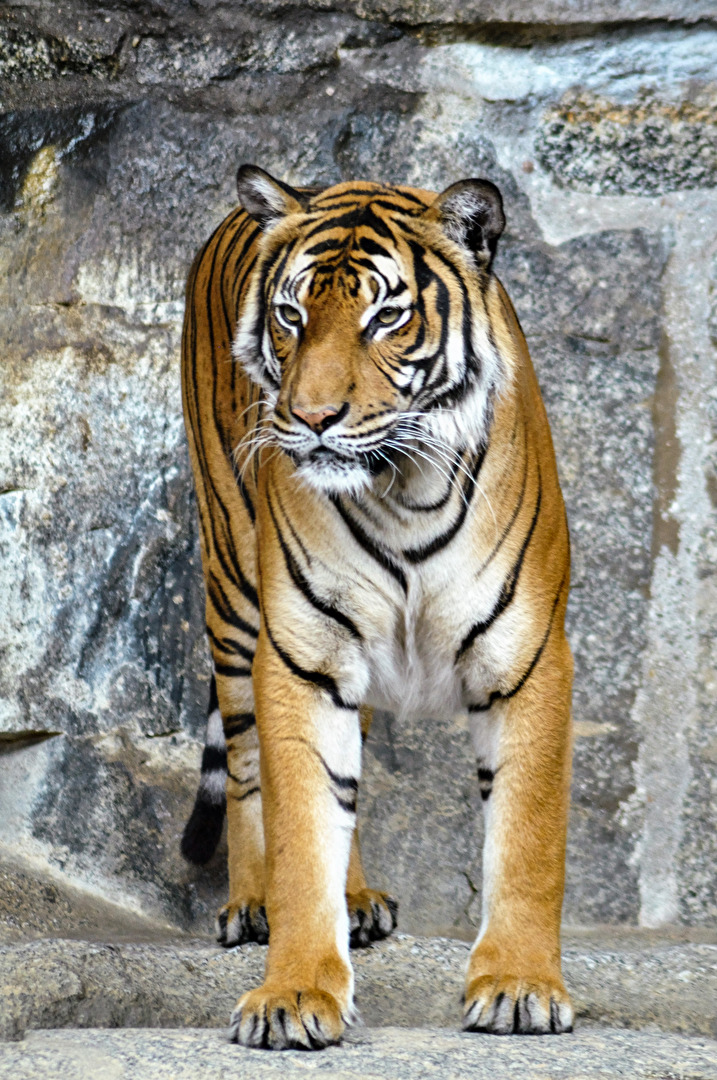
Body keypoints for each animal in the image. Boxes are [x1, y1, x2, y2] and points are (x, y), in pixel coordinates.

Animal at [179, 164, 574, 1050]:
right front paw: (292, 992)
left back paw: (357, 902)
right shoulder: (302, 655)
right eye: (291, 316)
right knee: (250, 764)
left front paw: (520, 987)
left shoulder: (529, 655)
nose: (311, 419)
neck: (405, 489)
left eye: (385, 317)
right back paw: (250, 902)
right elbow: (301, 827)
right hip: (234, 592)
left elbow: (528, 837)